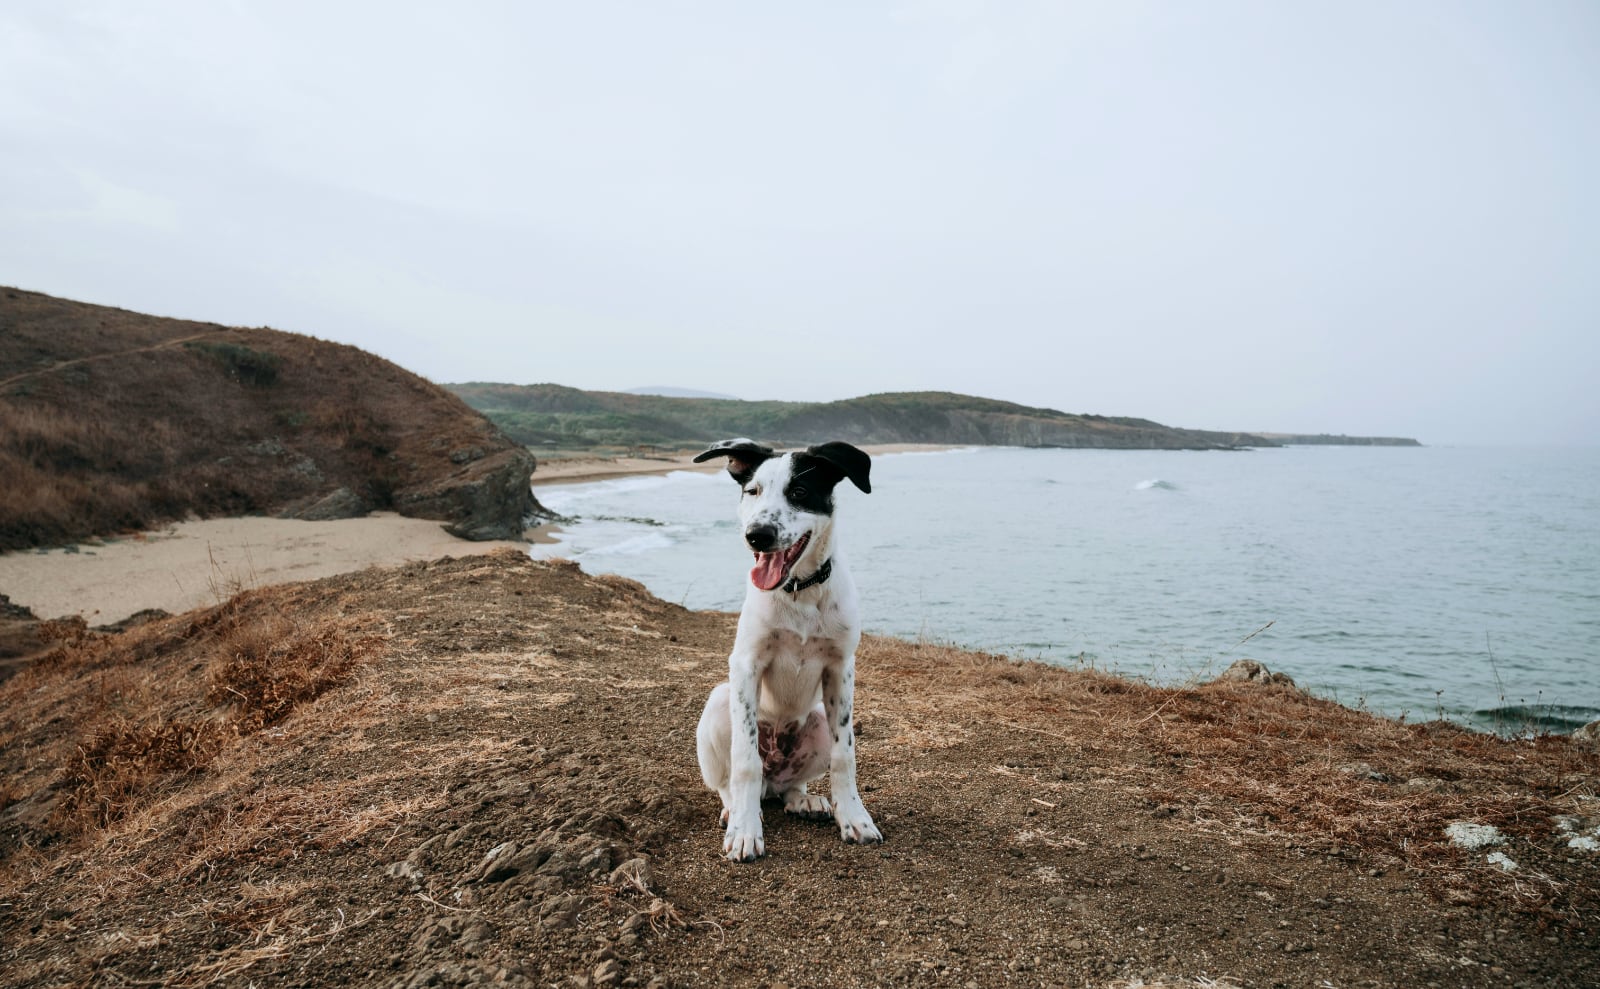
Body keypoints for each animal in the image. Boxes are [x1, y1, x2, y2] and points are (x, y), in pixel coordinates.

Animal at [691, 435, 883, 857]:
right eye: (752, 491)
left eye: (799, 492)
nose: (758, 534)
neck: (799, 591)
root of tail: (773, 780)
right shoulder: (746, 665)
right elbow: (745, 760)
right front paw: (745, 830)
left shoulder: (841, 668)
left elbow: (845, 756)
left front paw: (855, 817)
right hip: (720, 700)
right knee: (732, 783)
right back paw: (736, 810)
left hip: (817, 719)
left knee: (790, 786)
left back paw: (804, 799)